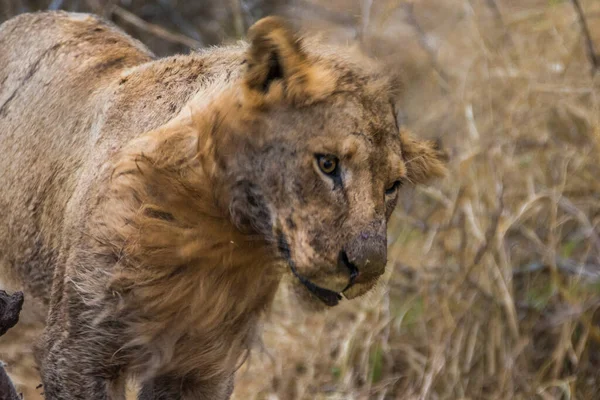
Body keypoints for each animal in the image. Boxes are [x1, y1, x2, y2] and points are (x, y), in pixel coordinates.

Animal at [0, 11, 446, 400]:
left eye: (392, 187)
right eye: (328, 164)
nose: (366, 268)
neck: (215, 237)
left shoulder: (201, 367)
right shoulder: (76, 353)